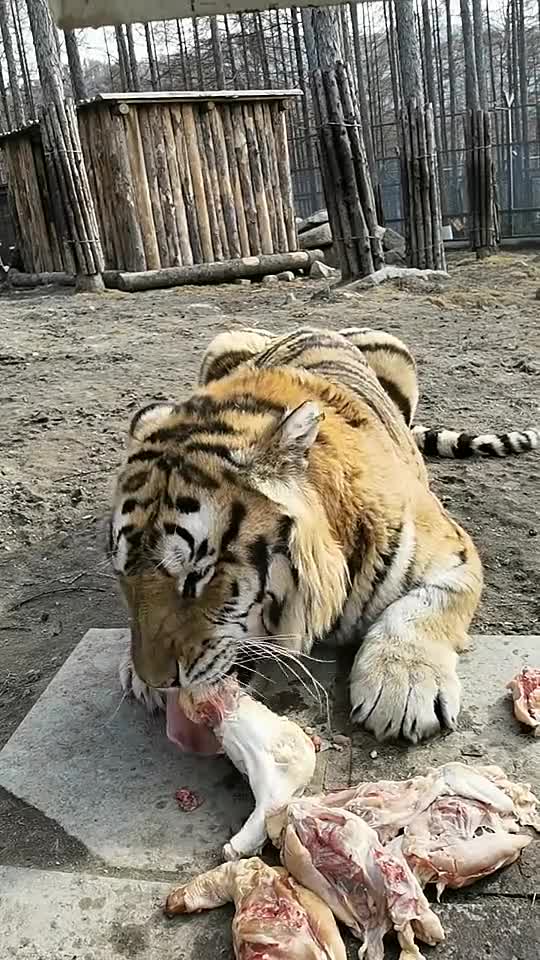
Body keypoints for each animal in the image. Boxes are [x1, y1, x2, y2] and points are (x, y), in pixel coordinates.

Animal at [109, 326, 536, 744]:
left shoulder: (454, 550)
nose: (154, 681)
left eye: (197, 576)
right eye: (124, 576)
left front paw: (403, 687)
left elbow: (426, 606)